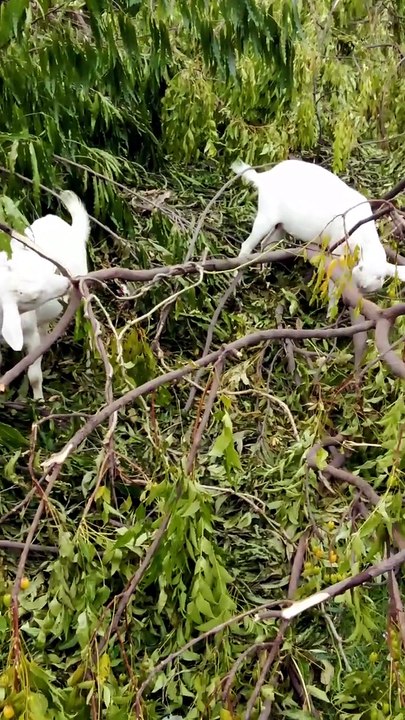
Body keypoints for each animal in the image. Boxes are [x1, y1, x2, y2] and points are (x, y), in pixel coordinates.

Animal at [0, 191, 90, 400]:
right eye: (32, 297)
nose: (66, 283)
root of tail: (72, 229)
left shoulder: (30, 335)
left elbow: (34, 375)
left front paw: (39, 401)